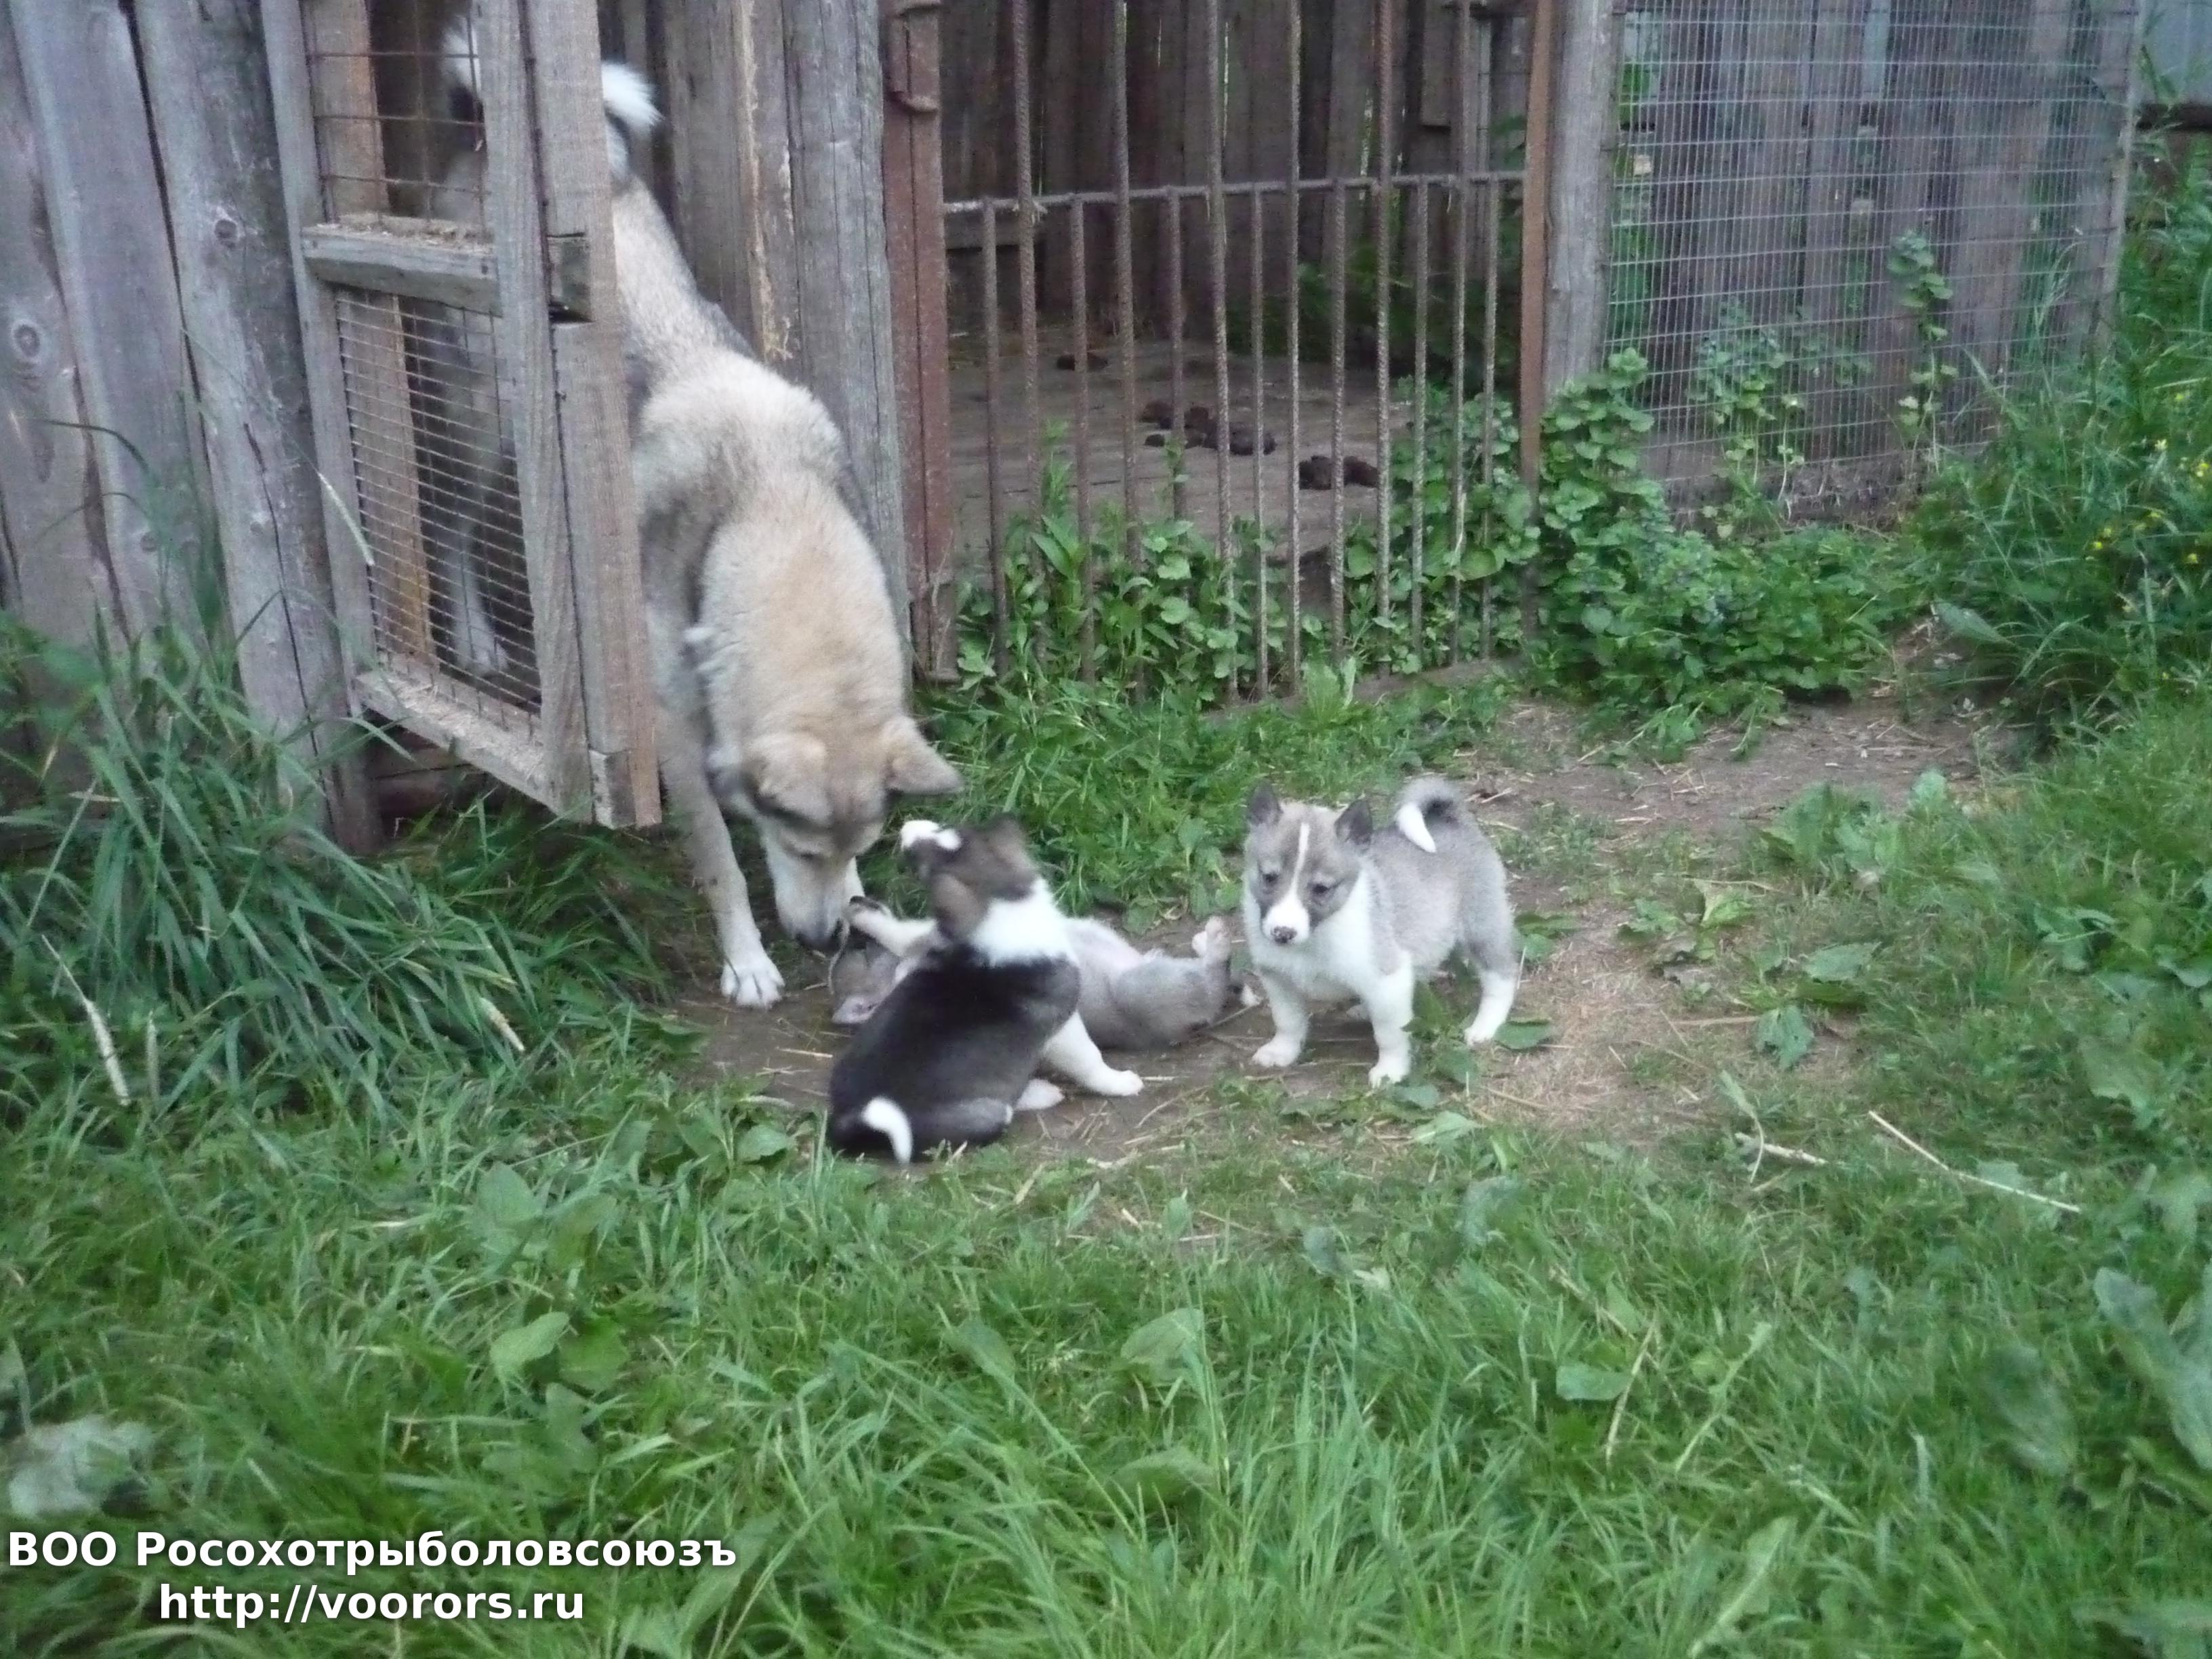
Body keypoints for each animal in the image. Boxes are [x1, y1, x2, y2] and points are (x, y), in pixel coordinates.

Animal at [436, 17, 961, 1006]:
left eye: (861, 848)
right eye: (797, 846)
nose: (831, 939)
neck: (771, 506)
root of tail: (489, 138)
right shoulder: (674, 738)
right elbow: (720, 861)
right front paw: (747, 962)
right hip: (484, 434)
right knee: (453, 533)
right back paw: (476, 639)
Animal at [828, 818, 1136, 1162]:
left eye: (948, 831)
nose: (907, 826)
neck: (1001, 908)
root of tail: (855, 1125)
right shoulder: (1064, 1027)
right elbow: (1090, 1060)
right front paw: (1121, 1082)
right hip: (989, 1111)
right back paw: (1042, 1092)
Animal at [834, 900, 1239, 1051]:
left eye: (855, 949)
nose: (841, 936)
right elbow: (899, 934)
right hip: (1141, 986)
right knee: (1211, 984)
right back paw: (1217, 941)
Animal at [1242, 777, 1517, 1086]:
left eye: (1322, 889)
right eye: (1269, 877)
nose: (1283, 933)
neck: (1318, 935)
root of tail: (1451, 819)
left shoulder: (1387, 980)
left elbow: (1389, 1034)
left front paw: (1390, 1070)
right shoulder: (1278, 980)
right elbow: (1288, 1022)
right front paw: (1282, 1051)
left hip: (1482, 930)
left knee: (1502, 978)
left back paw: (1485, 1026)